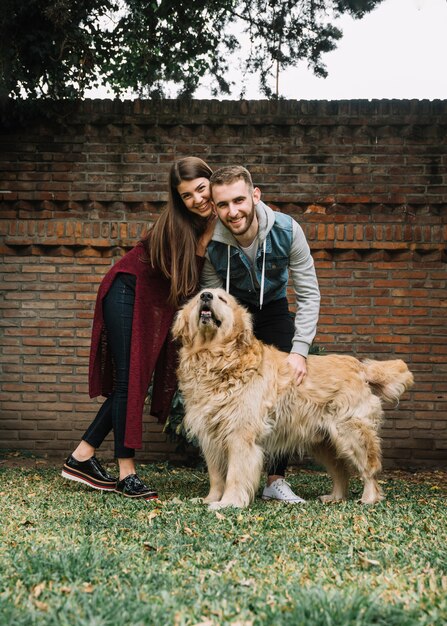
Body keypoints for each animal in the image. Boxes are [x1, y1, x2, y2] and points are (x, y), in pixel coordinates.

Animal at [171, 288, 412, 508]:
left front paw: (228, 503)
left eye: (222, 299)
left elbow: (235, 476)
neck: (217, 359)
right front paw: (209, 499)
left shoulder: (240, 435)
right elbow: (216, 476)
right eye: (199, 296)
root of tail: (359, 366)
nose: (206, 296)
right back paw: (335, 496)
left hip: (351, 433)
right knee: (340, 470)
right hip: (324, 441)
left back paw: (369, 498)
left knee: (369, 469)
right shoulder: (210, 437)